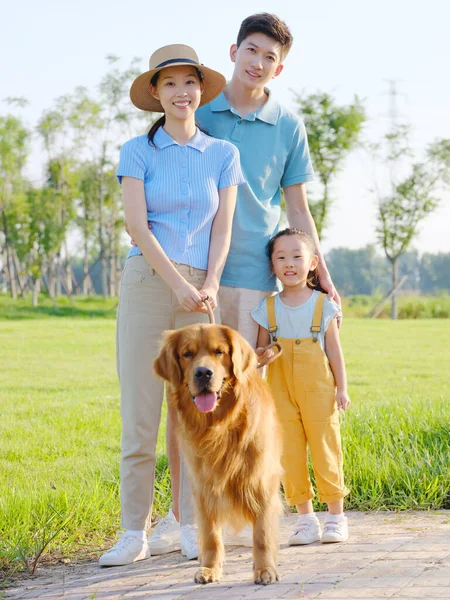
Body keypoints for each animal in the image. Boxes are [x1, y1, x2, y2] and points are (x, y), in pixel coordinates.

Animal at [155, 324, 282, 584]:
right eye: (187, 354)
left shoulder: (260, 482)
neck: (220, 426)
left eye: (219, 352)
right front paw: (210, 568)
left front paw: (265, 569)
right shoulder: (203, 487)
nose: (203, 373)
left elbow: (262, 533)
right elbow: (211, 535)